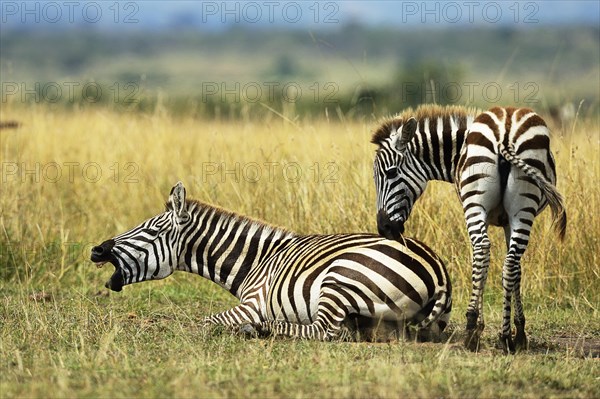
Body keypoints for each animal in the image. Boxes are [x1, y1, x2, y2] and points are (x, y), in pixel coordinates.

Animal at [91, 183, 452, 342]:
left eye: (151, 230)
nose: (97, 250)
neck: (256, 262)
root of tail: (437, 269)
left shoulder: (254, 302)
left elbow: (206, 322)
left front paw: (247, 327)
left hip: (340, 278)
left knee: (326, 331)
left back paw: (266, 328)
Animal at [370, 104, 568, 354]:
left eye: (391, 172)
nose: (384, 228)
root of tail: (505, 133)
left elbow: (490, 265)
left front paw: (491, 327)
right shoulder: (506, 220)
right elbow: (513, 270)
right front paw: (518, 331)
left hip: (482, 202)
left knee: (484, 251)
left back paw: (478, 332)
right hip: (519, 207)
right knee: (502, 259)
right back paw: (500, 336)